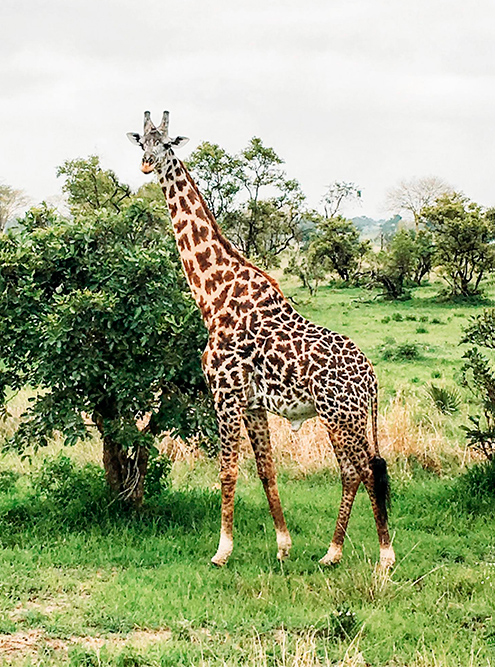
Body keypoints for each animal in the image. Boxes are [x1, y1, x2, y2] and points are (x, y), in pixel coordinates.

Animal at [128, 109, 396, 568]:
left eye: (165, 144)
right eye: (139, 142)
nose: (146, 165)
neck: (213, 296)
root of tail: (372, 378)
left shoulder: (225, 394)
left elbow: (227, 470)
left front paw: (222, 551)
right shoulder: (253, 403)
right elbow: (267, 471)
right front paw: (283, 545)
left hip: (341, 415)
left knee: (365, 469)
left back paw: (384, 556)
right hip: (346, 417)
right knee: (353, 471)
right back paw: (332, 553)